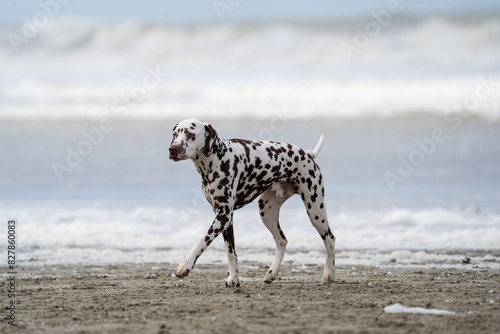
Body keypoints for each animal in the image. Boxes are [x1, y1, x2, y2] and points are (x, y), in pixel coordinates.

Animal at [169, 118, 336, 286]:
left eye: (190, 134)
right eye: (175, 134)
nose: (173, 149)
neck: (218, 158)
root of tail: (307, 153)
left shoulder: (223, 216)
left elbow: (202, 240)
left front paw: (185, 265)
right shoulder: (226, 219)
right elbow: (231, 252)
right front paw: (233, 278)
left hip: (315, 212)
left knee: (330, 239)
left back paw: (329, 273)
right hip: (266, 212)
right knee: (282, 241)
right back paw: (272, 272)